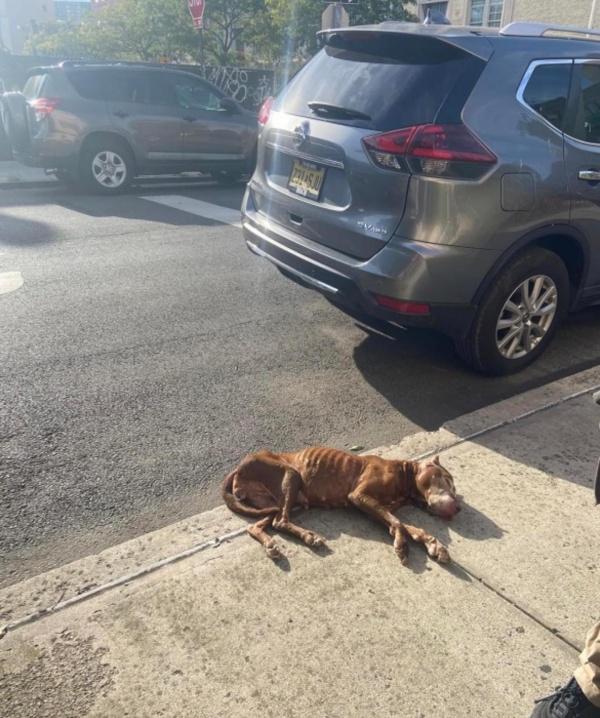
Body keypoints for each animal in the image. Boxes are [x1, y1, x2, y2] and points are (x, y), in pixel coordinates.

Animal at [223, 450, 462, 568]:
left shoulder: (377, 507)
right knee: (280, 521)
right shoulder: (360, 497)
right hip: (291, 475)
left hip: (277, 502)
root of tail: (237, 468)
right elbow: (398, 523)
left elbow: (404, 525)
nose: (458, 507)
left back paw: (271, 545)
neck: (405, 477)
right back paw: (309, 537)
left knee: (260, 524)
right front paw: (403, 545)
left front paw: (432, 544)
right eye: (447, 479)